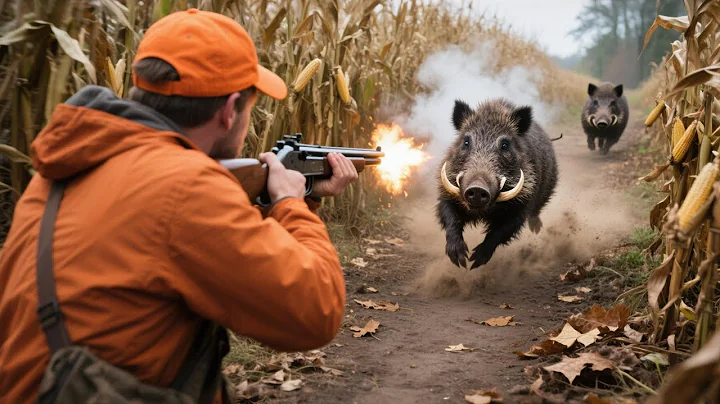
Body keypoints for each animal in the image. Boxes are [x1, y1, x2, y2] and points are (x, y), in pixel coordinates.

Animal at [435, 98, 559, 269]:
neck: (483, 212)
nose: (477, 188)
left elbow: (500, 232)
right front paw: (459, 260)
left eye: (505, 144)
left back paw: (536, 229)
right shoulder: (446, 193)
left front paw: (475, 261)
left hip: (548, 190)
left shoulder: (521, 207)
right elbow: (450, 217)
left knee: (536, 212)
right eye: (466, 141)